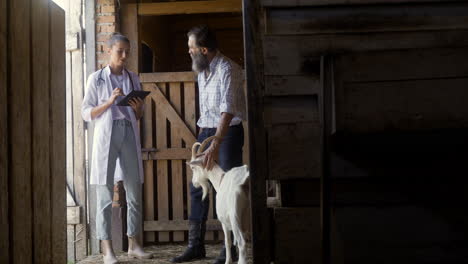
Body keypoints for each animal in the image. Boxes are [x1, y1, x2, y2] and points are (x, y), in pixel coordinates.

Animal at [187, 136, 250, 264]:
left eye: (193, 167)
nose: (195, 183)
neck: (220, 180)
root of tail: (243, 183)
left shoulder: (224, 221)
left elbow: (227, 241)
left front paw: (227, 261)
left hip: (235, 216)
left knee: (241, 242)